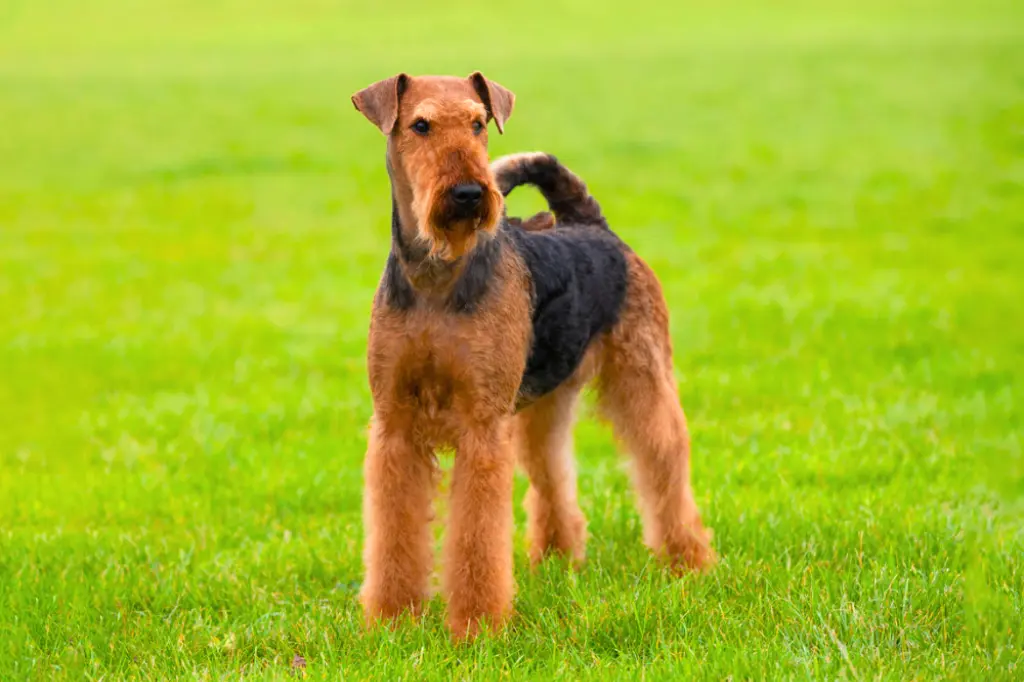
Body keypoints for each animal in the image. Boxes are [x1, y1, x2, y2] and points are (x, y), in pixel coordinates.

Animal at [352, 71, 712, 634]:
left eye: (478, 124)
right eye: (421, 125)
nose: (469, 193)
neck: (436, 279)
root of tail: (591, 224)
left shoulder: (481, 427)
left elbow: (477, 539)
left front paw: (477, 626)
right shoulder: (395, 424)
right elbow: (395, 532)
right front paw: (393, 619)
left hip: (643, 377)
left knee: (664, 463)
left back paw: (687, 561)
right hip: (545, 403)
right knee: (554, 473)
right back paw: (559, 558)